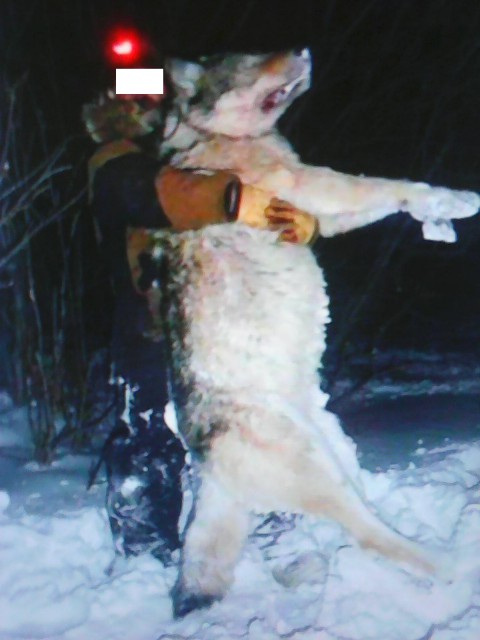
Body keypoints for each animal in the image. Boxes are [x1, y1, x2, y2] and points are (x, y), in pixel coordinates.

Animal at [151, 50, 478, 617]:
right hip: (314, 466)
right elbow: (389, 184)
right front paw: (453, 199)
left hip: (324, 452)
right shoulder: (309, 183)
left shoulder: (316, 213)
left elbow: (387, 199)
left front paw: (434, 215)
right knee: (371, 535)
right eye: (249, 61)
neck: (215, 135)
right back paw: (450, 564)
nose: (304, 51)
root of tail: (207, 465)